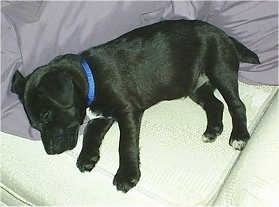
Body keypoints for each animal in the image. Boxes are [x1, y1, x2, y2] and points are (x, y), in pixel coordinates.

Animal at [10, 19, 260, 192]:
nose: (50, 152)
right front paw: (87, 157)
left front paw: (127, 175)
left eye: (47, 115)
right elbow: (90, 133)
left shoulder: (126, 110)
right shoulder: (103, 115)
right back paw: (212, 130)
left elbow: (125, 144)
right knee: (215, 105)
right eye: (35, 124)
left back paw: (239, 135)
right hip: (195, 86)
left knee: (236, 105)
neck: (90, 76)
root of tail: (222, 33)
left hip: (220, 70)